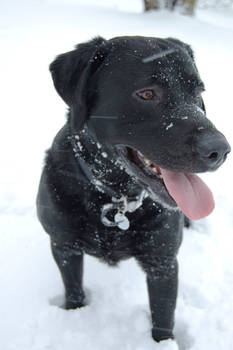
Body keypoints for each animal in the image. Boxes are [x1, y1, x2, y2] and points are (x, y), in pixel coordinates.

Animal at [37, 36, 230, 342]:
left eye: (198, 92)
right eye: (147, 94)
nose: (220, 150)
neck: (115, 197)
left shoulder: (163, 262)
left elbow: (163, 318)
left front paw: (163, 343)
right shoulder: (63, 246)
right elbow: (74, 291)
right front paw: (74, 314)